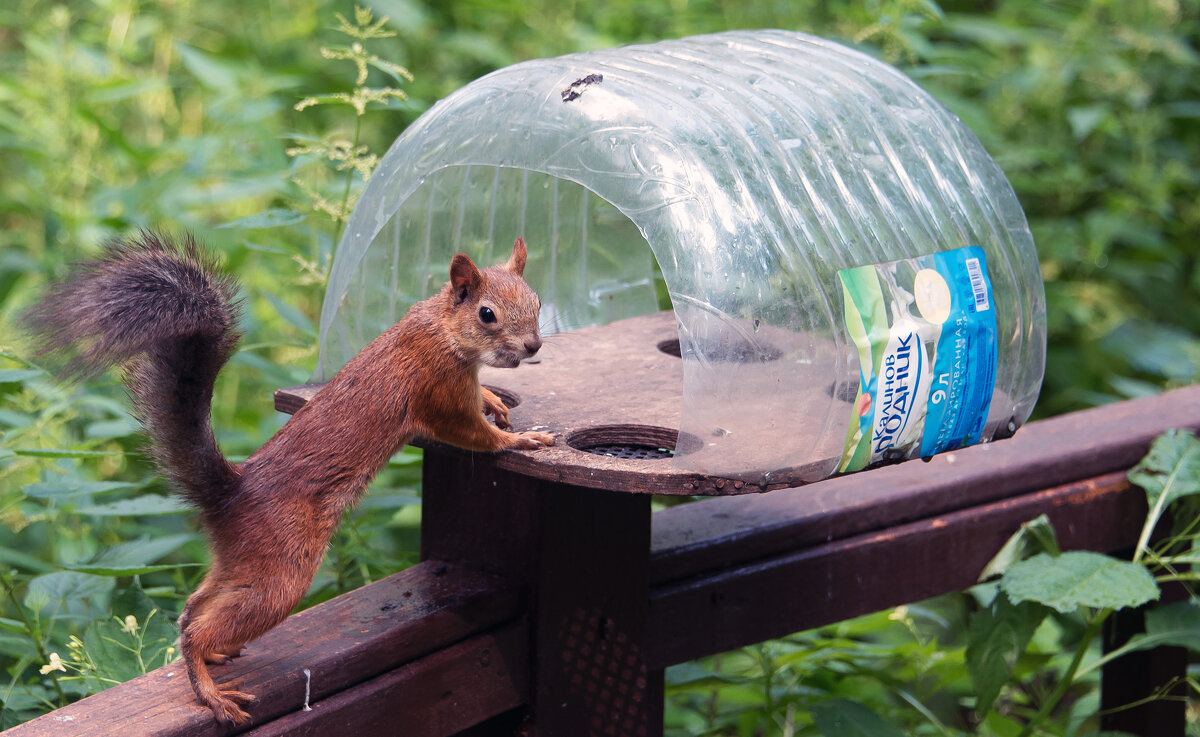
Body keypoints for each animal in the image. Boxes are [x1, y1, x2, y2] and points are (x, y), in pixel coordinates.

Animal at [22, 234, 556, 724]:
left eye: (537, 301)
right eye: (487, 315)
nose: (533, 346)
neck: (440, 326)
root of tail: (230, 494)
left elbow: (481, 403)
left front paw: (496, 401)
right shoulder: (437, 389)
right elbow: (470, 433)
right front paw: (520, 439)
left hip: (243, 563)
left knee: (195, 605)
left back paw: (211, 655)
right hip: (281, 572)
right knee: (201, 626)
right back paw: (210, 689)